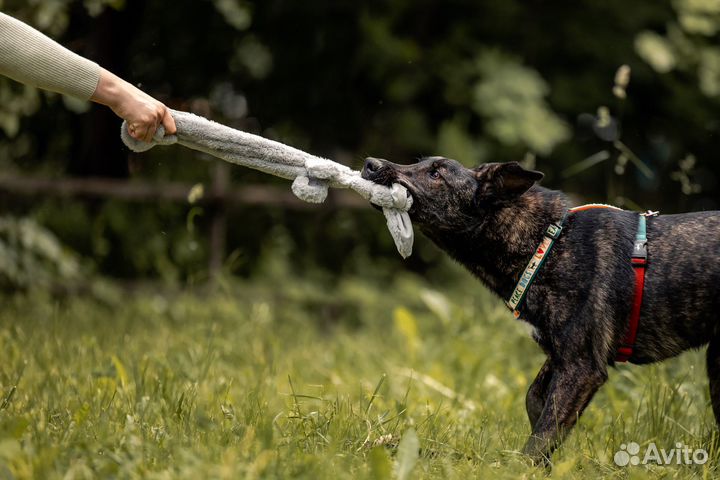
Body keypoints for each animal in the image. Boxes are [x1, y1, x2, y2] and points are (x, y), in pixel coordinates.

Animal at [362, 157, 720, 464]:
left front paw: (522, 467)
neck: (548, 241)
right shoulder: (560, 353)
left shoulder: (582, 365)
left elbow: (545, 429)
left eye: (436, 174)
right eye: (420, 163)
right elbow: (535, 400)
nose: (371, 164)